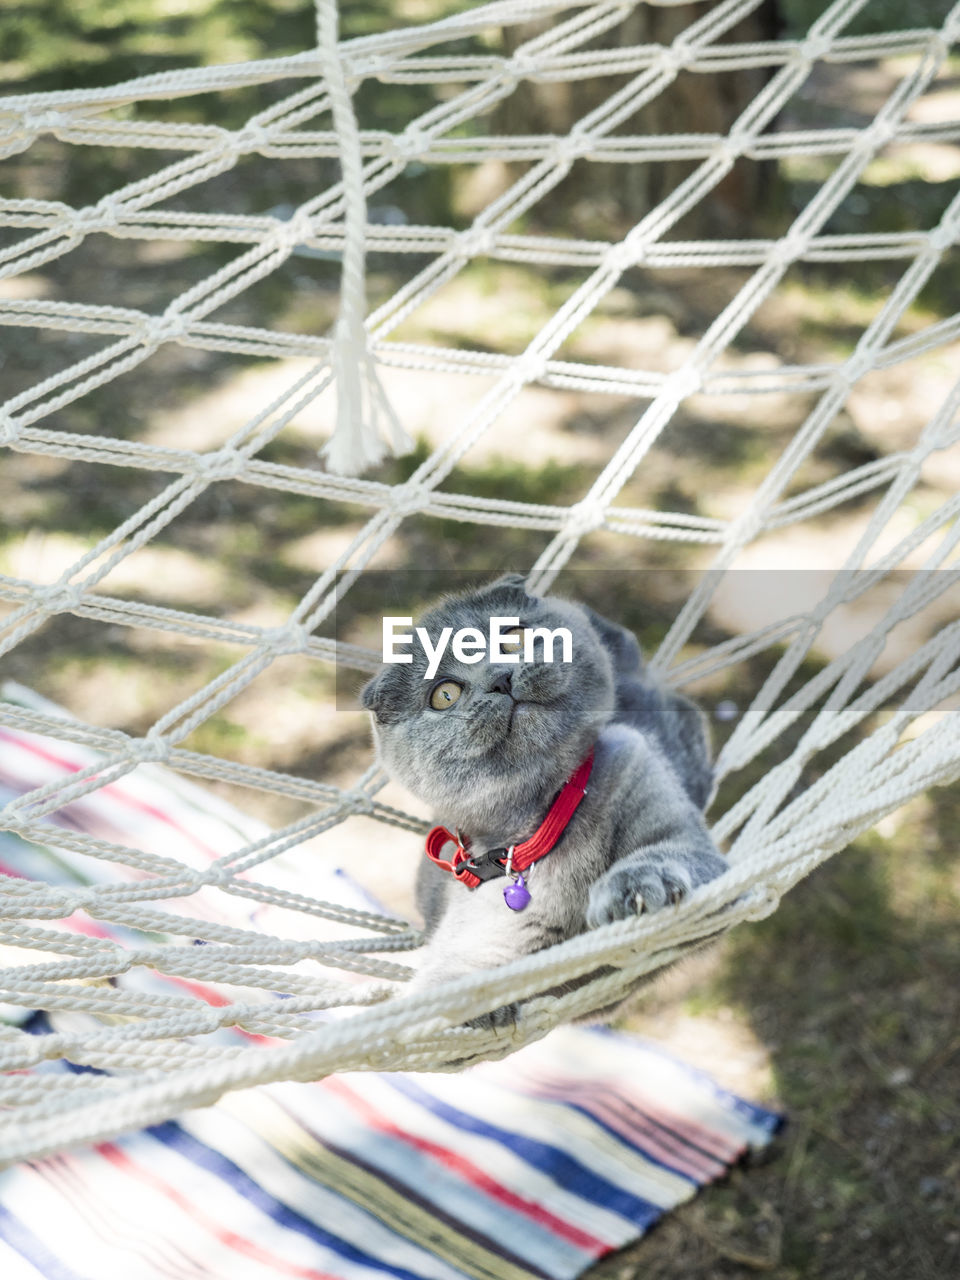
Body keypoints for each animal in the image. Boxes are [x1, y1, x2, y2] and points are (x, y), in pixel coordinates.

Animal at [363, 576, 727, 1024]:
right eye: (444, 694)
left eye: (513, 638)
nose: (500, 679)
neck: (548, 820)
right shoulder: (487, 933)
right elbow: (459, 969)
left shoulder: (659, 800)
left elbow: (667, 855)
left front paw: (637, 890)